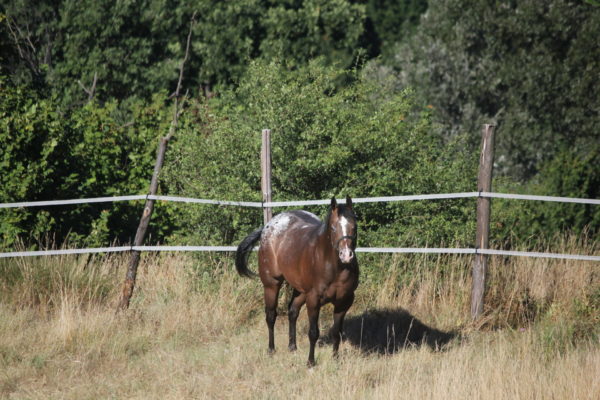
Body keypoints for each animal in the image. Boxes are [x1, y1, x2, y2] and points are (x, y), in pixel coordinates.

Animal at [233, 196, 356, 366]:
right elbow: (313, 332)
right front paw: (311, 362)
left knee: (292, 311)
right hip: (271, 284)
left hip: (300, 290)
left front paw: (336, 359)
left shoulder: (344, 302)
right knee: (271, 316)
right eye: (332, 228)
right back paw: (271, 349)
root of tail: (268, 226)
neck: (334, 267)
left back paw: (292, 346)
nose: (346, 255)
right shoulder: (314, 300)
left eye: (354, 226)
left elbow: (336, 332)